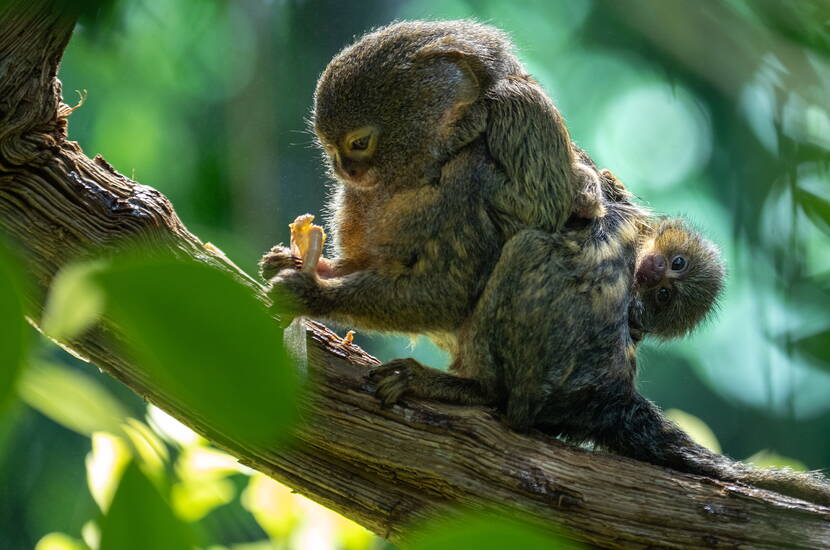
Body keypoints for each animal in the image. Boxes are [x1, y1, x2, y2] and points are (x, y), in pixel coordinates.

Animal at [262, 20, 830, 505]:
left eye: (359, 143)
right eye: (331, 148)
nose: (344, 167)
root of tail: (613, 391)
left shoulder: (475, 168)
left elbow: (450, 291)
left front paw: (312, 293)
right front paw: (296, 261)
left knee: (527, 264)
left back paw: (475, 390)